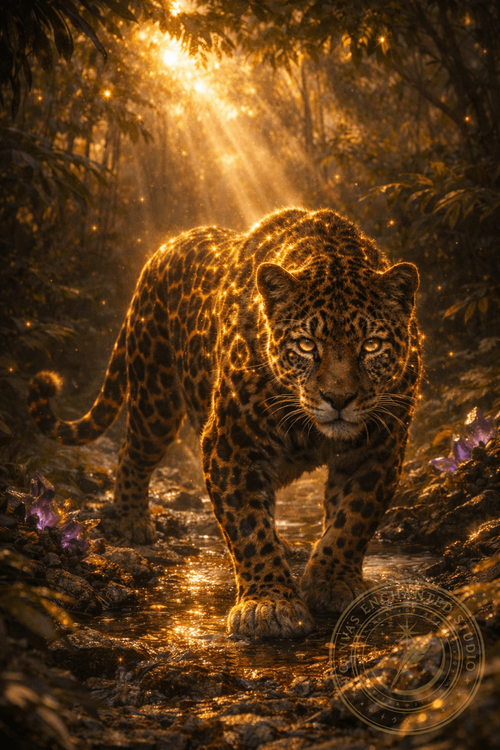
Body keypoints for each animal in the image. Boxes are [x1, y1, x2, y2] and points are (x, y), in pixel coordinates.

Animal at [28, 207, 421, 638]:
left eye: (371, 346)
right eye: (306, 345)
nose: (338, 399)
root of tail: (166, 246)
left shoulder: (379, 447)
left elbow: (353, 518)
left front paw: (332, 581)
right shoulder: (231, 443)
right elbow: (248, 527)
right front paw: (269, 604)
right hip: (155, 396)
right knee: (131, 454)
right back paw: (132, 521)